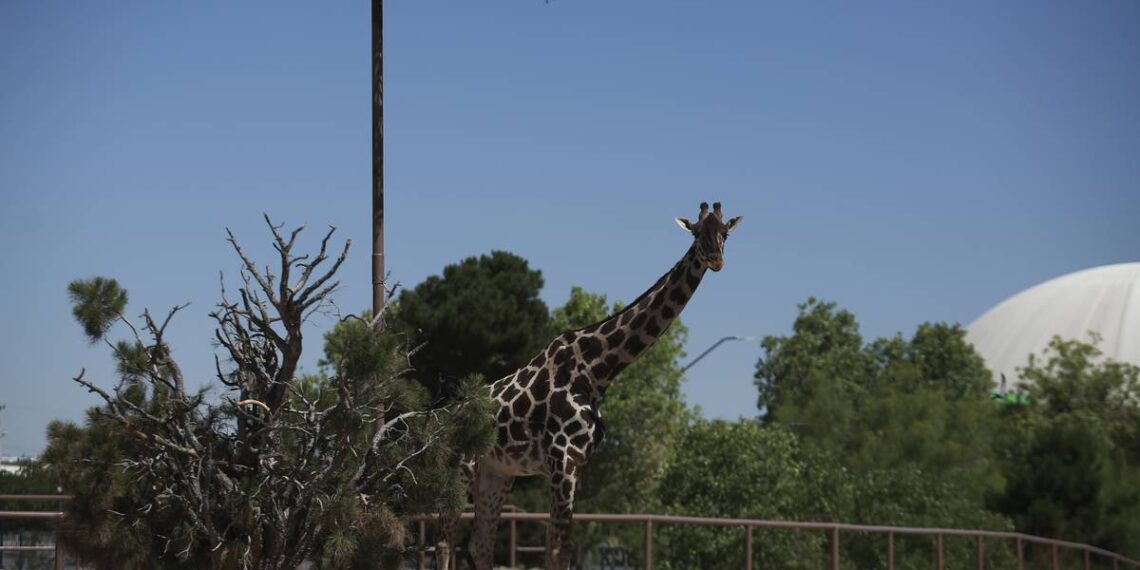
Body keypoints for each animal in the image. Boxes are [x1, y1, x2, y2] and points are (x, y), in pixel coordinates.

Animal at [437, 202, 743, 570]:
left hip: (495, 474)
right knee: (444, 542)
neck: (596, 371)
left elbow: (562, 549)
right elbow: (557, 550)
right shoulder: (561, 460)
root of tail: (444, 419)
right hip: (460, 468)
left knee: (479, 545)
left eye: (724, 233)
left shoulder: (576, 465)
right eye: (697, 233)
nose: (716, 260)